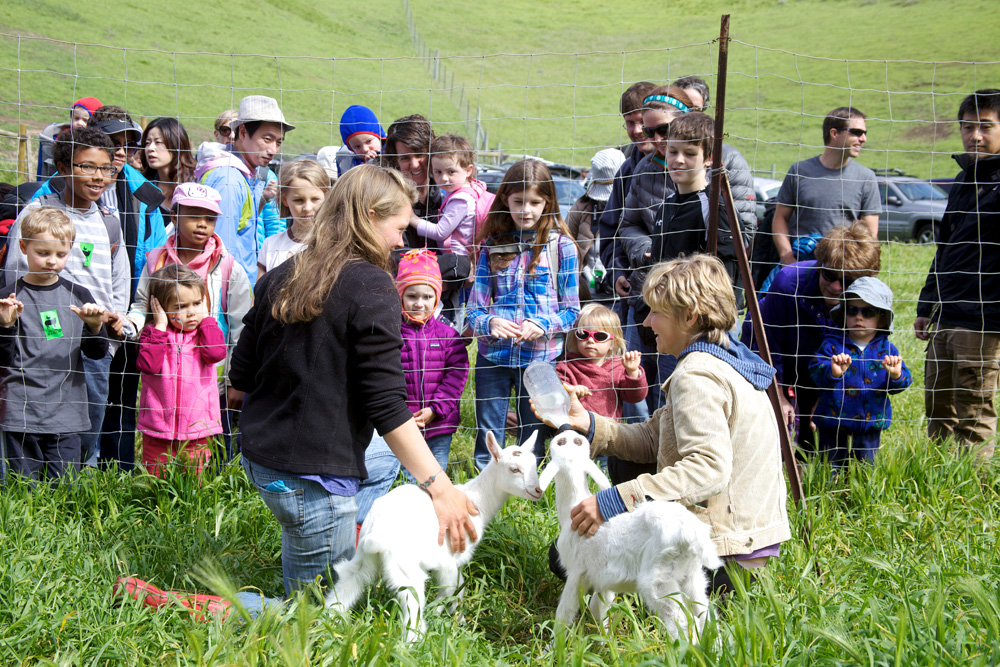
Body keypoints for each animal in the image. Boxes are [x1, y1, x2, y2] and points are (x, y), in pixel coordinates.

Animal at [328, 430, 544, 644]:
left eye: (535, 464)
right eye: (514, 469)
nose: (538, 491)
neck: (476, 501)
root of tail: (376, 532)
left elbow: (458, 590)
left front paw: (457, 620)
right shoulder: (449, 559)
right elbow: (452, 590)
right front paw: (446, 616)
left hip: (363, 557)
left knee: (347, 583)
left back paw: (328, 623)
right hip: (406, 568)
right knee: (412, 606)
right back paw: (414, 643)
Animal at [540, 430, 720, 640]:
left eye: (564, 442)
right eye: (571, 441)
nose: (568, 430)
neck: (572, 506)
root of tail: (691, 532)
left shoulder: (576, 572)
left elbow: (565, 613)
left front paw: (555, 645)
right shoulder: (602, 578)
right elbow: (599, 607)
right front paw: (605, 640)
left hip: (659, 580)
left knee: (681, 623)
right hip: (691, 575)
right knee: (706, 616)